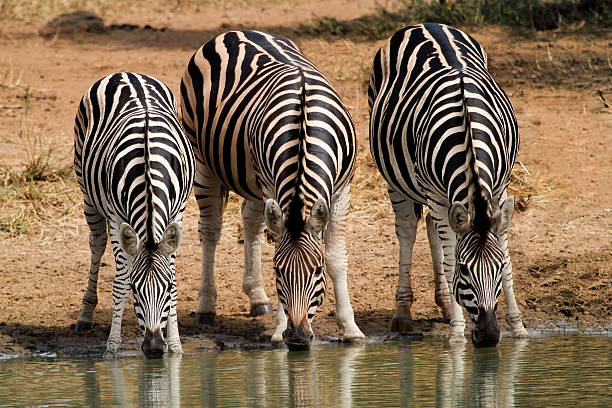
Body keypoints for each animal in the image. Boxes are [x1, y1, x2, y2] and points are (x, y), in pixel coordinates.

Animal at [74, 72, 195, 356]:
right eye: (135, 289)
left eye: (166, 289)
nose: (154, 347)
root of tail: (125, 73)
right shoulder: (117, 218)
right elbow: (118, 284)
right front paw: (112, 348)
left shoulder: (177, 213)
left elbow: (173, 273)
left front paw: (176, 346)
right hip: (87, 193)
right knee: (96, 244)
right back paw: (85, 315)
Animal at [179, 29, 366, 350]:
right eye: (278, 271)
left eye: (317, 270)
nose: (299, 338)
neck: (304, 130)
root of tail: (235, 32)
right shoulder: (272, 185)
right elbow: (276, 244)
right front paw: (278, 331)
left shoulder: (342, 190)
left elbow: (336, 257)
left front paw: (350, 328)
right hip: (203, 159)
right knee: (211, 230)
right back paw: (206, 307)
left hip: (252, 177)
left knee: (251, 220)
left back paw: (257, 298)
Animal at [368, 23, 532, 346]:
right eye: (465, 271)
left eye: (496, 269)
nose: (489, 336)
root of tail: (424, 24)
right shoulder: (436, 194)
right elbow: (448, 258)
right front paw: (457, 333)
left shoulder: (500, 188)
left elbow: (506, 255)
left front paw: (518, 327)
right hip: (399, 181)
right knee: (408, 231)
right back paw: (404, 313)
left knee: (432, 226)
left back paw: (444, 304)